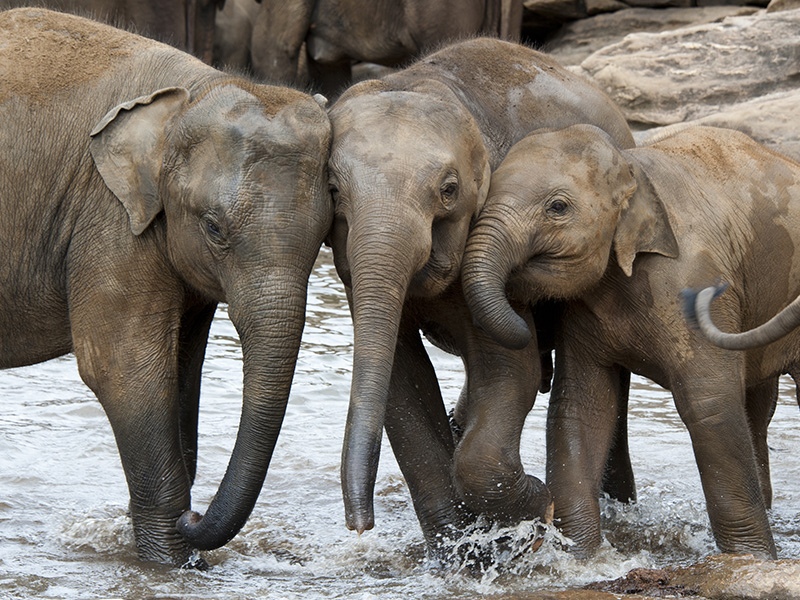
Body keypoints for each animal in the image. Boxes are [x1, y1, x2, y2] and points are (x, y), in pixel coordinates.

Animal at [0, 8, 332, 568]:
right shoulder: (110, 219)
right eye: (214, 228)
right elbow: (121, 368)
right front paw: (171, 562)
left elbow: (180, 369)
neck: (191, 93)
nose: (194, 518)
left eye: (325, 235)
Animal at [326, 35, 636, 556]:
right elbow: (401, 384)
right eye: (331, 188)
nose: (359, 526)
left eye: (449, 190)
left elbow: (511, 370)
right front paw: (460, 554)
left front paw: (538, 512)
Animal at [460, 124, 800, 560]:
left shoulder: (696, 282)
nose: (529, 325)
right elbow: (582, 405)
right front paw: (583, 557)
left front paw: (750, 559)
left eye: (558, 207)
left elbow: (709, 406)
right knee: (758, 407)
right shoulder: (582, 312)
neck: (632, 167)